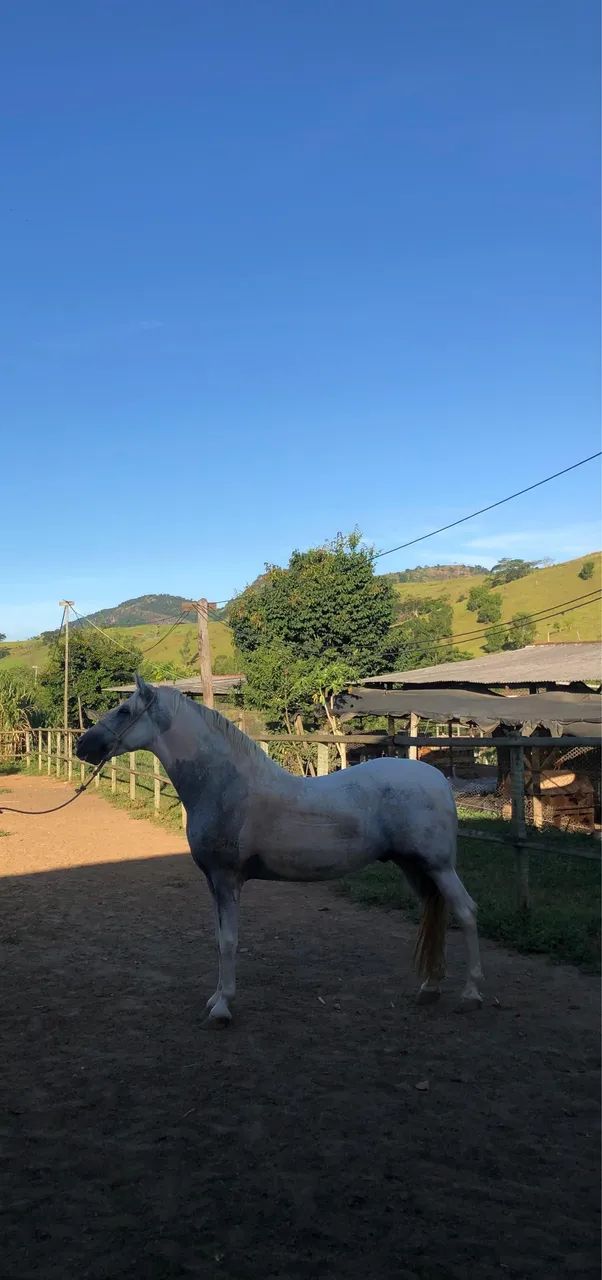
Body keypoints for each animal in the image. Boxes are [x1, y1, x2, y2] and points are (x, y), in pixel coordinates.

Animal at [76, 676, 483, 1024]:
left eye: (124, 710)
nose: (83, 746)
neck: (227, 785)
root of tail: (438, 779)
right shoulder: (214, 882)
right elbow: (218, 937)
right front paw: (216, 997)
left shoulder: (227, 879)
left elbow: (229, 940)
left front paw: (222, 1007)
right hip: (414, 867)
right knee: (436, 913)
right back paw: (430, 988)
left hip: (439, 867)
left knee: (465, 912)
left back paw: (471, 994)